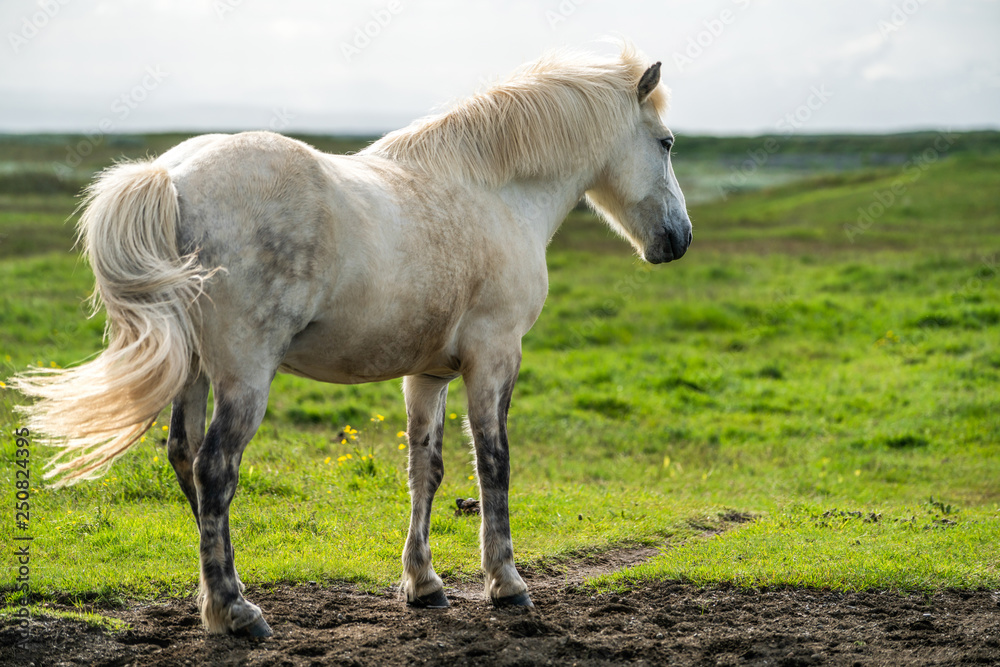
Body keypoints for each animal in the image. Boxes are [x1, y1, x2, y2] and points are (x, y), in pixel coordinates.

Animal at [15, 43, 692, 636]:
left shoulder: (428, 374)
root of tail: (172, 176)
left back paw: (217, 598)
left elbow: (427, 470)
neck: (493, 192)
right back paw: (237, 612)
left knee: (184, 457)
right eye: (665, 143)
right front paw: (506, 583)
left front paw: (423, 583)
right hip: (244, 375)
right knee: (214, 468)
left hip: (195, 372)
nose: (678, 239)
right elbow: (493, 464)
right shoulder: (495, 357)